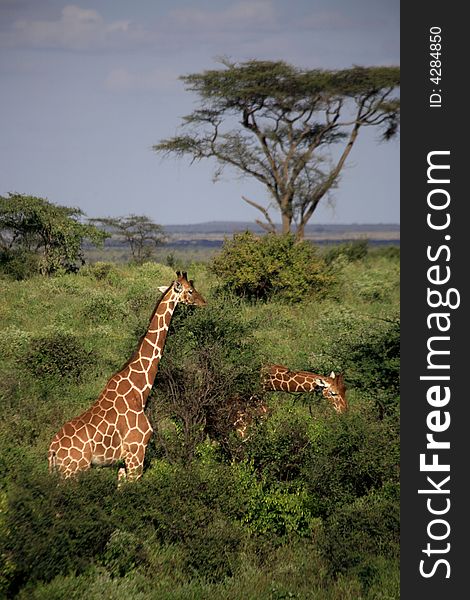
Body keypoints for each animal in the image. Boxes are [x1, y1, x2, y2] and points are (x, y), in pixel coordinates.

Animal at [47, 272, 206, 482]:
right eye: (190, 290)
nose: (204, 302)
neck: (139, 390)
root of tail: (52, 450)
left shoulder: (123, 464)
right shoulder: (136, 451)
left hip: (60, 473)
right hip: (72, 472)